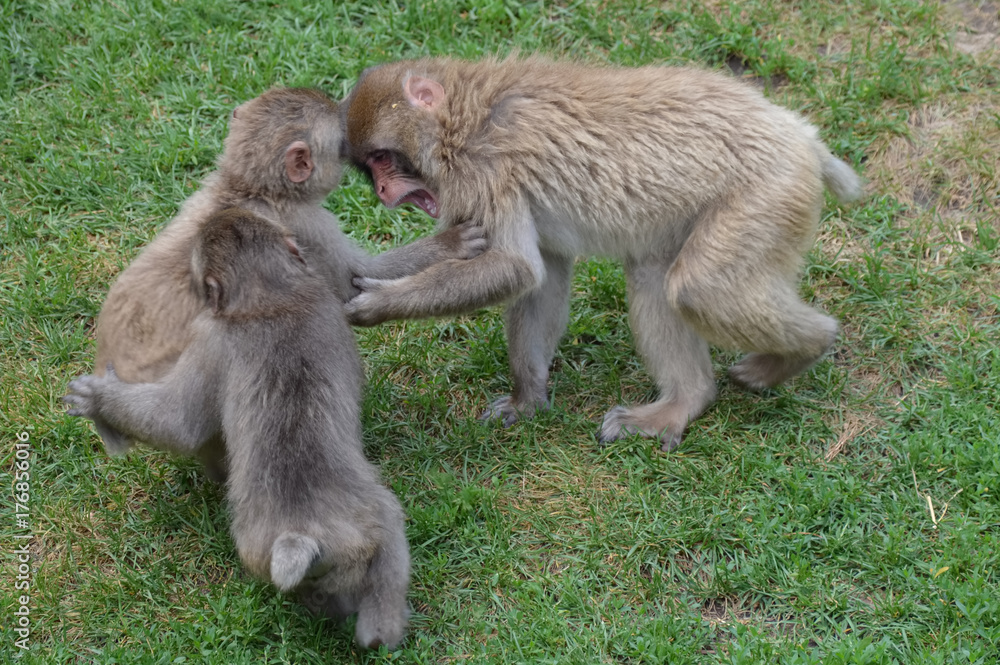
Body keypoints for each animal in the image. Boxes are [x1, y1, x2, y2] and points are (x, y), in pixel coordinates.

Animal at [66, 209, 410, 648]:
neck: (270, 298)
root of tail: (301, 534)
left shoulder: (210, 335)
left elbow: (180, 423)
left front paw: (99, 400)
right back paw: (371, 629)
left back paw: (377, 629)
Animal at [92, 87, 486, 478]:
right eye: (341, 142)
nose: (351, 113)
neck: (252, 188)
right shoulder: (308, 225)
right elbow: (354, 282)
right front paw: (450, 243)